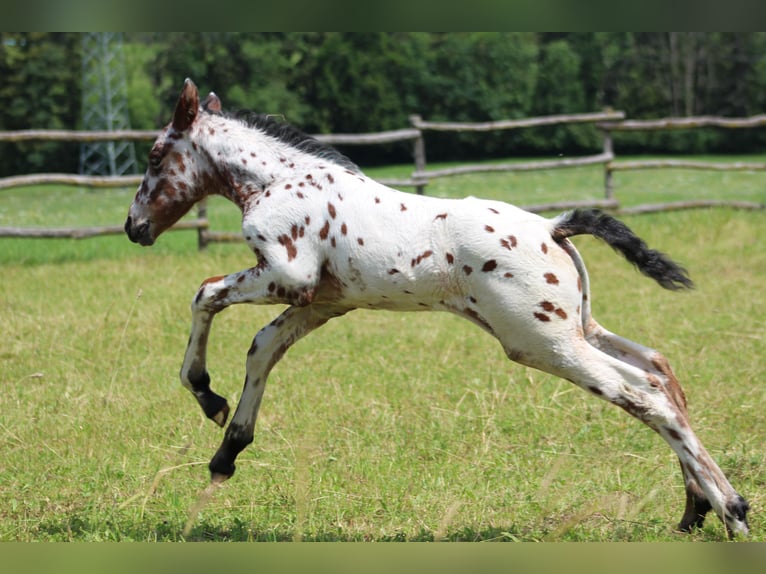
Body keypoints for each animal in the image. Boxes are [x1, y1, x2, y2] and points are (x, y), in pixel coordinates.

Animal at [126, 80, 752, 540]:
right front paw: (226, 449)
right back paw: (695, 509)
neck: (280, 180)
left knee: (643, 394)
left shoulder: (287, 275)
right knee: (660, 371)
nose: (134, 228)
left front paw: (205, 392)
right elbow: (262, 349)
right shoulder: (321, 304)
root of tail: (554, 227)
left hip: (542, 342)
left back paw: (733, 511)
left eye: (155, 155)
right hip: (578, 328)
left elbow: (205, 293)